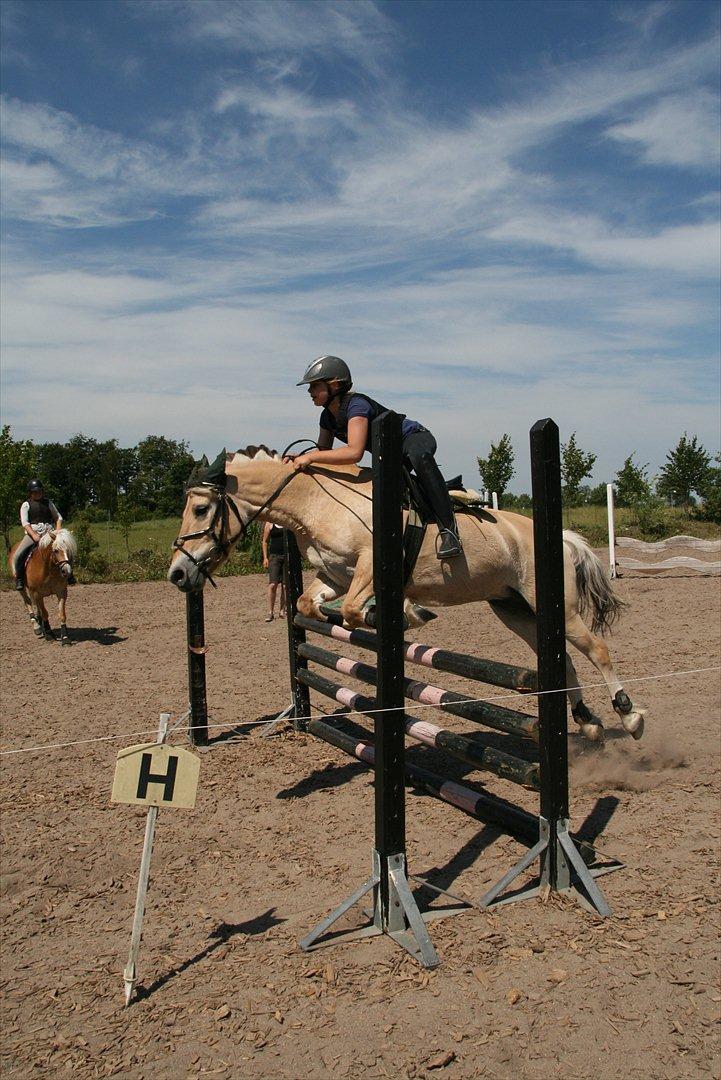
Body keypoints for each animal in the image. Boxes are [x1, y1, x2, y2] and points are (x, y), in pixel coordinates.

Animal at [169, 447, 647, 743]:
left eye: (201, 509)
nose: (177, 573)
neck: (315, 504)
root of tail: (559, 536)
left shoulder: (368, 563)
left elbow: (354, 610)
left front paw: (407, 613)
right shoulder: (336, 576)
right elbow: (311, 604)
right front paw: (400, 612)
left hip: (555, 605)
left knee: (596, 649)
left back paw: (630, 715)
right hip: (514, 609)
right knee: (562, 658)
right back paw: (588, 724)